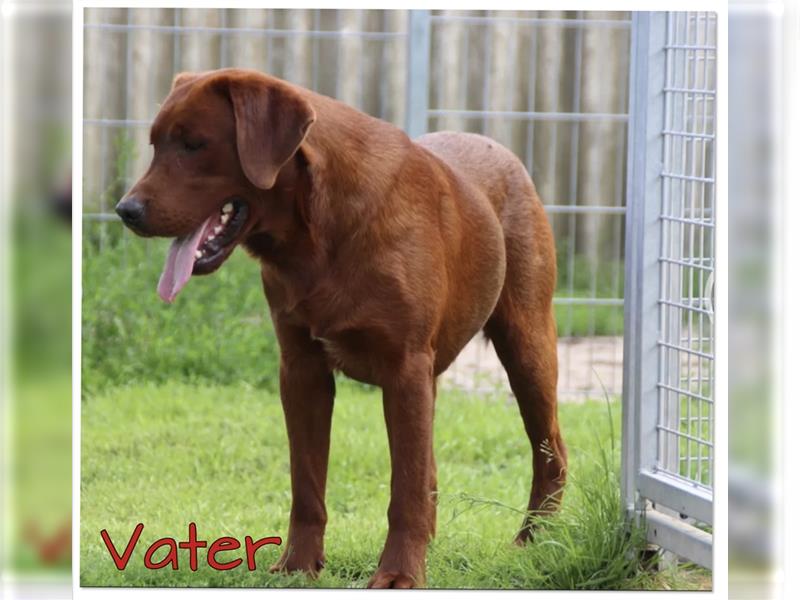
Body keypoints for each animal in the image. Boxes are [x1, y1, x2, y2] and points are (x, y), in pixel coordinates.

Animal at [117, 68, 568, 588]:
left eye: (194, 144)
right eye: (155, 144)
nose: (125, 211)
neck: (317, 234)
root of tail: (501, 151)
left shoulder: (405, 369)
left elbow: (404, 489)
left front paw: (399, 575)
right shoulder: (301, 368)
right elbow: (307, 482)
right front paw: (299, 565)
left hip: (527, 344)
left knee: (550, 451)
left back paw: (535, 540)